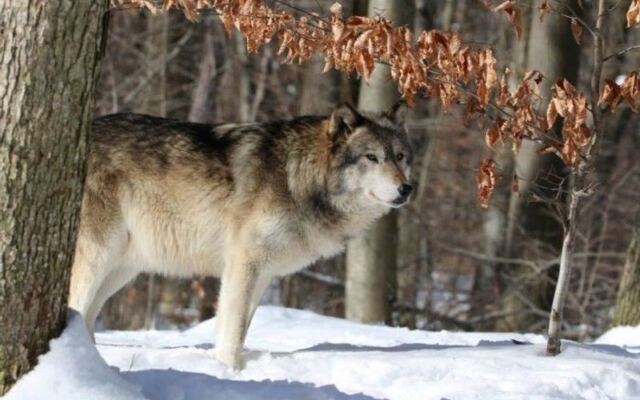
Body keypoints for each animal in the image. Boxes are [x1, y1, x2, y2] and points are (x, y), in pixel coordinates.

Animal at [69, 102, 413, 369]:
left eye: (400, 156)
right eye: (372, 157)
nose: (407, 189)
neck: (298, 178)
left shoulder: (263, 274)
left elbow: (239, 328)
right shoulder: (242, 263)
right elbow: (232, 330)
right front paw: (229, 370)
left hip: (121, 270)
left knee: (87, 317)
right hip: (99, 258)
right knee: (76, 307)